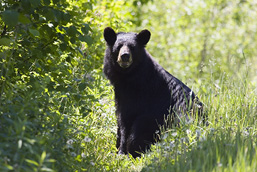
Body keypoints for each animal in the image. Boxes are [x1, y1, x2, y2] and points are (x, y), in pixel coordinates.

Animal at [102, 26, 202, 157]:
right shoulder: (120, 94)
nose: (125, 56)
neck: (129, 78)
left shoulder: (138, 98)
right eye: (118, 46)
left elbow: (126, 121)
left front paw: (121, 152)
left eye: (132, 47)